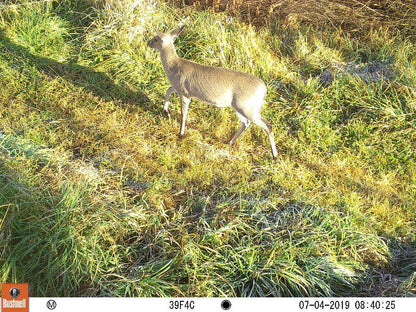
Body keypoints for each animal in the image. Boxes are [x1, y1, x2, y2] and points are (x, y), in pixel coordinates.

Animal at [146, 25, 276, 158]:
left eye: (156, 39)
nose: (148, 42)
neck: (174, 66)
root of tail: (263, 89)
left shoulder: (185, 92)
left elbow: (183, 114)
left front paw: (181, 133)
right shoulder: (179, 89)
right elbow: (168, 90)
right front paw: (166, 111)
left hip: (244, 105)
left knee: (267, 125)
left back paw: (274, 155)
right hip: (244, 106)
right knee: (246, 123)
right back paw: (230, 141)